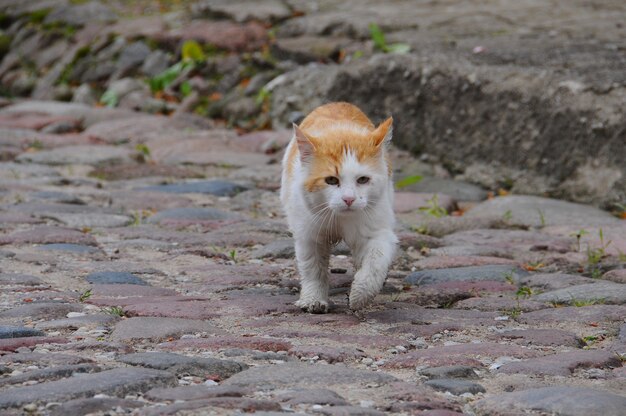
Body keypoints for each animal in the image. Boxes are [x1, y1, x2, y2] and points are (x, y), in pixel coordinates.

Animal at [280, 103, 394, 312]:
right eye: (331, 180)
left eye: (363, 179)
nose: (349, 199)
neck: (340, 219)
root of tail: (338, 103)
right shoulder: (309, 235)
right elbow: (313, 269)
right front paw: (313, 299)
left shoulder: (377, 231)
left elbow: (375, 263)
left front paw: (360, 295)